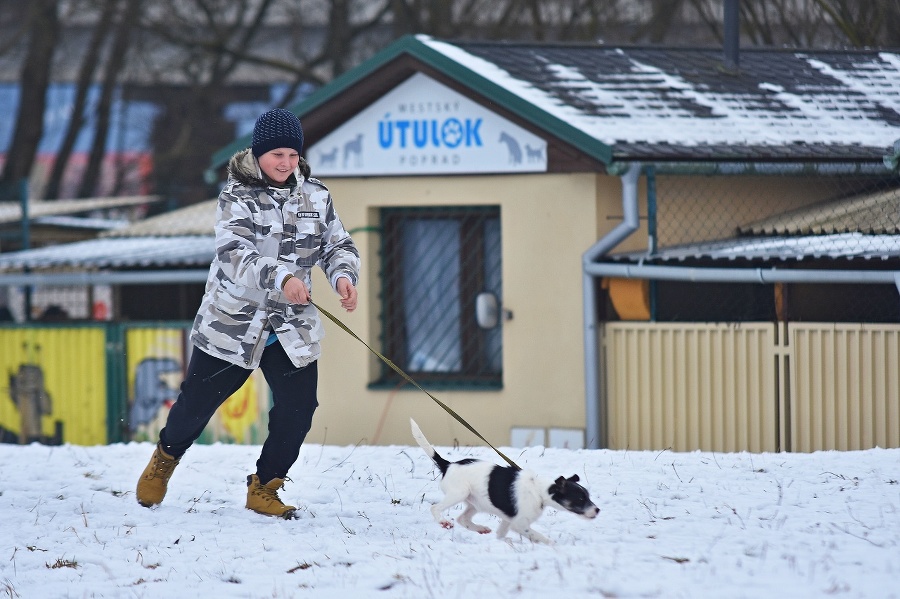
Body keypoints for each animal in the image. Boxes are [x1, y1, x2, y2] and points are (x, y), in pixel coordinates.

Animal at [414, 418, 596, 544]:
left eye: (588, 496)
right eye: (581, 499)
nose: (597, 510)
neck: (539, 491)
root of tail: (448, 465)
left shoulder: (508, 520)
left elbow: (500, 535)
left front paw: (505, 542)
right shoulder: (519, 524)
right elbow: (540, 537)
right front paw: (554, 547)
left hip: (475, 503)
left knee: (462, 519)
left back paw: (480, 528)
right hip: (460, 493)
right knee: (435, 508)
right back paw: (443, 521)